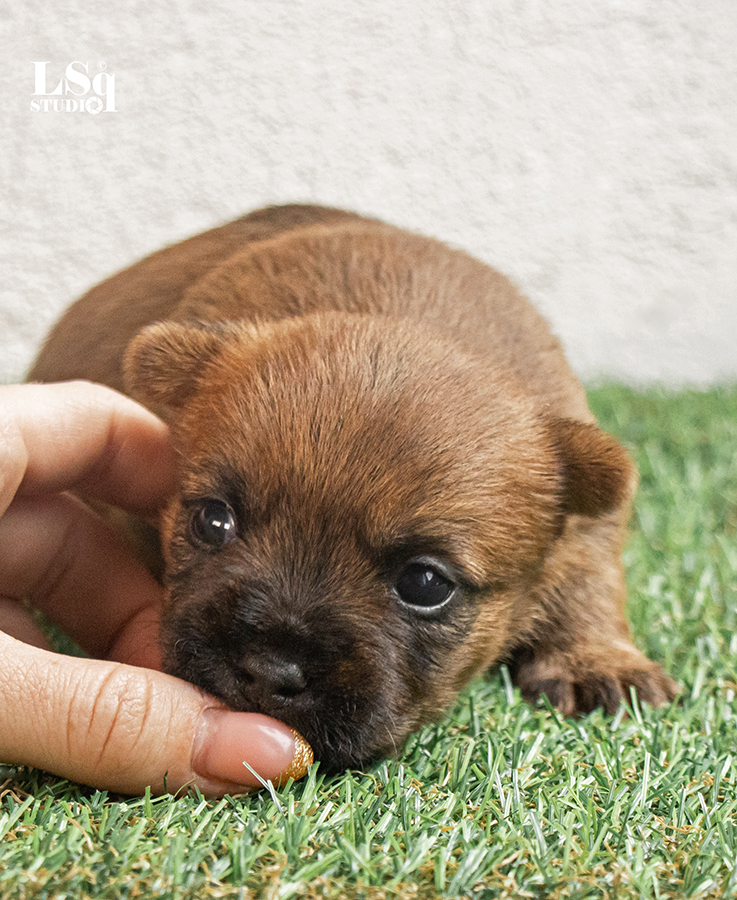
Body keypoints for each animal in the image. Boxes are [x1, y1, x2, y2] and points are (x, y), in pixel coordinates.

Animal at [27, 207, 672, 768]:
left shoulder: (590, 511)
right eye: (213, 520)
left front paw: (597, 661)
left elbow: (589, 578)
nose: (269, 671)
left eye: (425, 583)